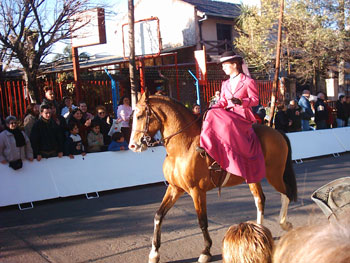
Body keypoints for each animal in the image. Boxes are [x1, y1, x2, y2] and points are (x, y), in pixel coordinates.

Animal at [130, 94, 296, 263]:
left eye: (140, 115)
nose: (133, 145)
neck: (184, 146)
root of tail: (277, 132)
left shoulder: (197, 191)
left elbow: (202, 221)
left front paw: (206, 251)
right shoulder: (175, 188)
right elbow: (159, 215)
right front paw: (154, 252)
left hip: (274, 175)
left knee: (286, 194)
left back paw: (283, 224)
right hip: (253, 177)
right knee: (260, 200)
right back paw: (259, 231)